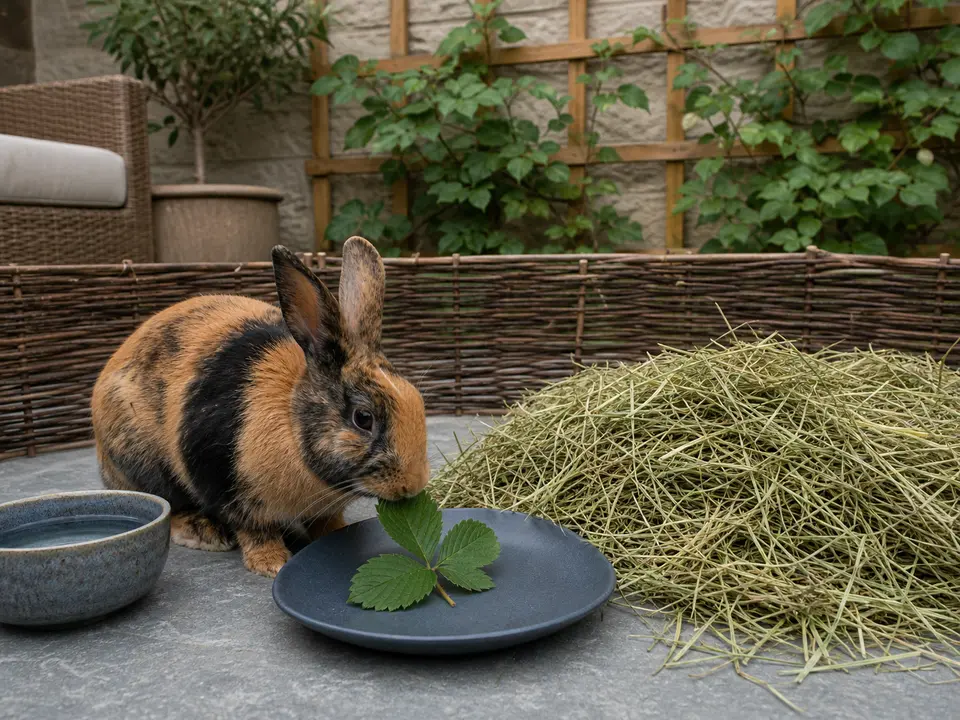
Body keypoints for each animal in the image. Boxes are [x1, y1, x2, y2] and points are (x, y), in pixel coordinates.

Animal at [91, 236, 429, 577]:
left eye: (417, 398)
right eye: (363, 418)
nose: (411, 486)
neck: (293, 423)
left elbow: (325, 522)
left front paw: (336, 531)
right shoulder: (232, 492)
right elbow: (255, 530)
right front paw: (272, 564)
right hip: (145, 464)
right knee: (171, 506)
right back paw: (203, 532)